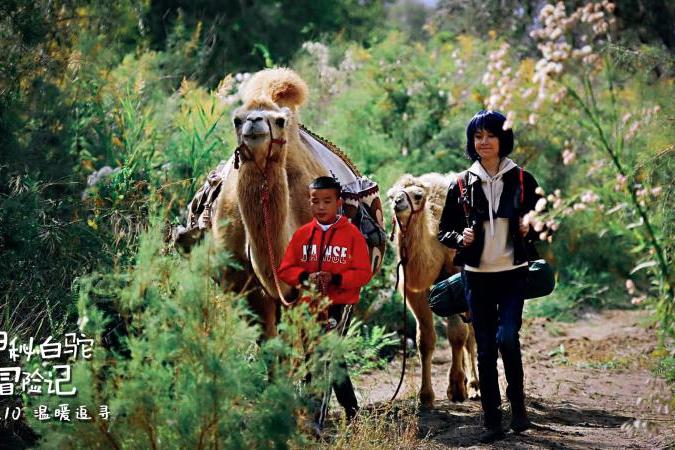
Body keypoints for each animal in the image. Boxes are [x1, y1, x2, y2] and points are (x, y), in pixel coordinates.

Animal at [388, 173, 478, 408]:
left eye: (418, 195)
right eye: (391, 195)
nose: (397, 202)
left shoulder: (453, 277)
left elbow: (457, 334)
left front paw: (456, 389)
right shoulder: (415, 291)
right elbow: (425, 340)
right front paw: (426, 396)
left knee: (472, 332)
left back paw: (474, 386)